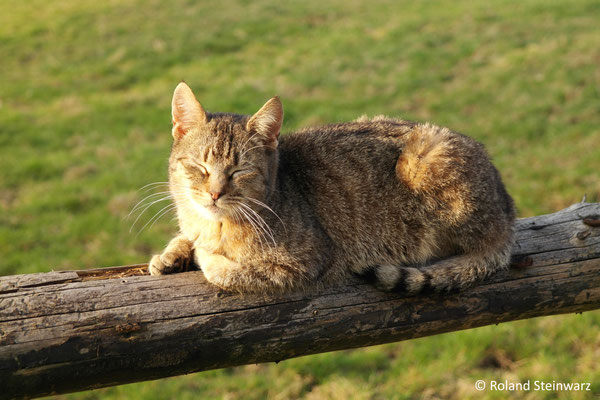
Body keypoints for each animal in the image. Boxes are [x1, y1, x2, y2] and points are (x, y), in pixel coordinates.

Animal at [146, 82, 516, 294]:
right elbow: (187, 239)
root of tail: (507, 209)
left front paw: (202, 255)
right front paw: (173, 254)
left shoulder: (307, 262)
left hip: (425, 164)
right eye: (200, 167)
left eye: (240, 171)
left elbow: (224, 271)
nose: (215, 193)